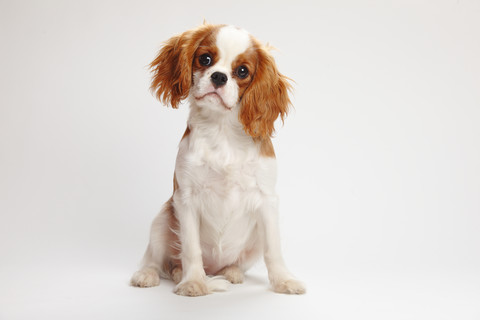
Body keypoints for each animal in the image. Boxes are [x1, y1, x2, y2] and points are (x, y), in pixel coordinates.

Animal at [129, 24, 306, 298]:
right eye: (205, 59)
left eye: (242, 71)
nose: (219, 77)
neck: (222, 130)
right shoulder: (186, 198)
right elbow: (191, 249)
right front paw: (193, 282)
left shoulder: (267, 200)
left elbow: (274, 250)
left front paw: (284, 281)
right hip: (162, 220)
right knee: (156, 261)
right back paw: (150, 275)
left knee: (233, 264)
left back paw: (231, 273)